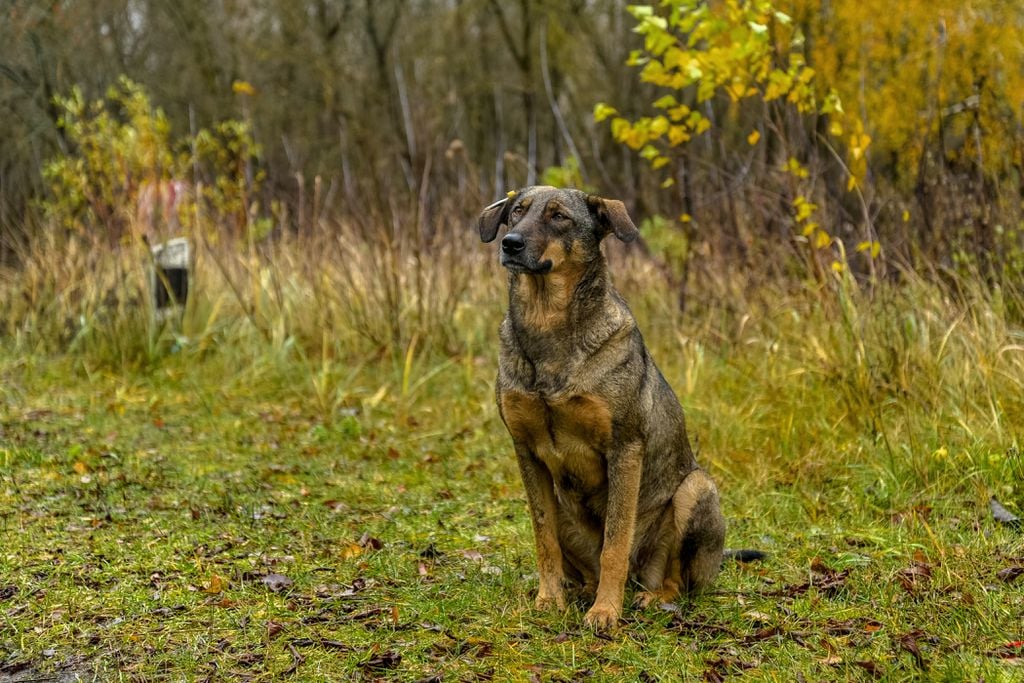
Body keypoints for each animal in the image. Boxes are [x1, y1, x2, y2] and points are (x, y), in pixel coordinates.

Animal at [479, 185, 729, 630]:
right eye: (517, 212)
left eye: (559, 216)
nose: (510, 243)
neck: (547, 325)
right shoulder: (526, 452)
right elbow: (543, 538)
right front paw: (549, 599)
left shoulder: (624, 448)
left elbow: (615, 541)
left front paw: (606, 611)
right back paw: (580, 590)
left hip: (696, 490)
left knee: (675, 580)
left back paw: (649, 598)